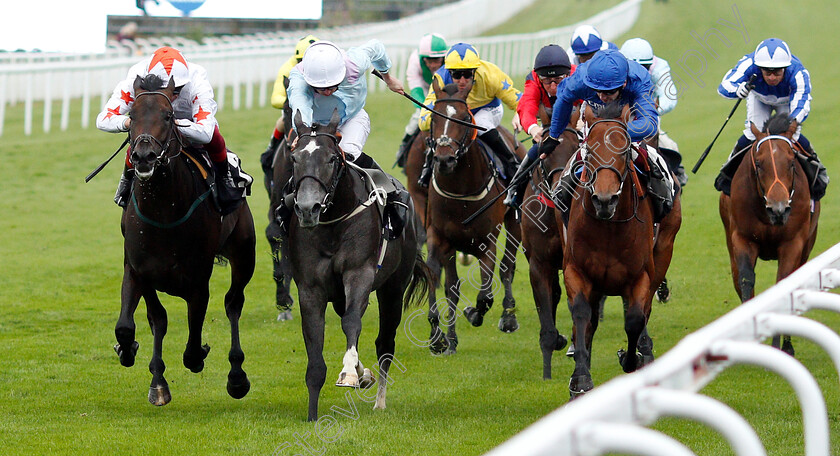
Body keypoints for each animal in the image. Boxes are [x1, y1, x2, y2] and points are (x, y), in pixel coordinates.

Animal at [114, 75, 256, 406]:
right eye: (131, 117)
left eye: (168, 116)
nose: (143, 157)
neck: (164, 211)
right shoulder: (139, 269)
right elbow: (142, 322)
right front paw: (150, 374)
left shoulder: (198, 279)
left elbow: (192, 345)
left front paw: (201, 355)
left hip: (245, 253)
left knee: (233, 303)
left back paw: (237, 376)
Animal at [426, 81, 524, 352]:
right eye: (434, 118)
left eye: (463, 117)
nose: (444, 159)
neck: (461, 192)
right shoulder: (439, 237)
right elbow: (441, 282)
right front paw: (441, 337)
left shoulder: (486, 241)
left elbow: (485, 295)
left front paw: (473, 313)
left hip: (515, 222)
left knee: (507, 267)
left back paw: (508, 317)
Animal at [560, 101, 680, 398]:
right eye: (589, 149)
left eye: (625, 149)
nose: (605, 199)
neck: (608, 226)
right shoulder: (576, 271)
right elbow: (582, 315)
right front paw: (580, 378)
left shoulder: (640, 276)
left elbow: (635, 319)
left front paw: (631, 357)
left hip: (664, 250)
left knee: (644, 310)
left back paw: (644, 354)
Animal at [720, 113, 824, 352]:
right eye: (758, 163)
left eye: (792, 162)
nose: (778, 209)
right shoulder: (742, 239)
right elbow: (745, 280)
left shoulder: (793, 243)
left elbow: (784, 284)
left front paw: (782, 345)